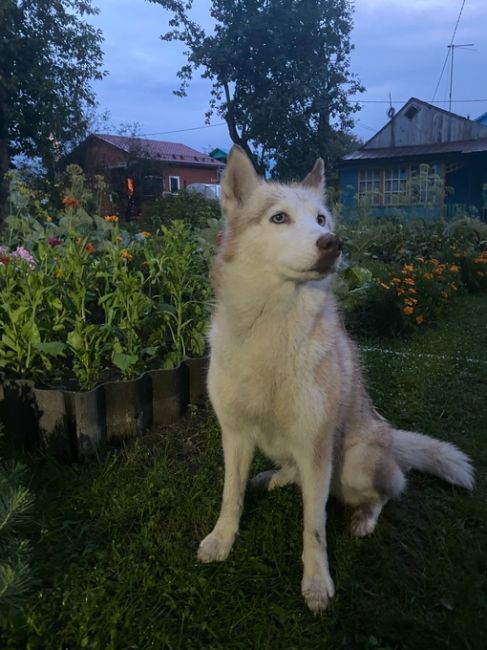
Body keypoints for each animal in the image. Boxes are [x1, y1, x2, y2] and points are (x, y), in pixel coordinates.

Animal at [197, 146, 472, 612]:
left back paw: (363, 518)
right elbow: (231, 497)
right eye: (279, 218)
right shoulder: (234, 435)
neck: (271, 331)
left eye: (322, 219)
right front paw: (222, 539)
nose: (332, 243)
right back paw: (275, 477)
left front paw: (316, 582)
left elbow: (315, 526)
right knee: (296, 471)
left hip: (355, 464)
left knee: (389, 488)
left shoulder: (315, 443)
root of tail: (391, 436)